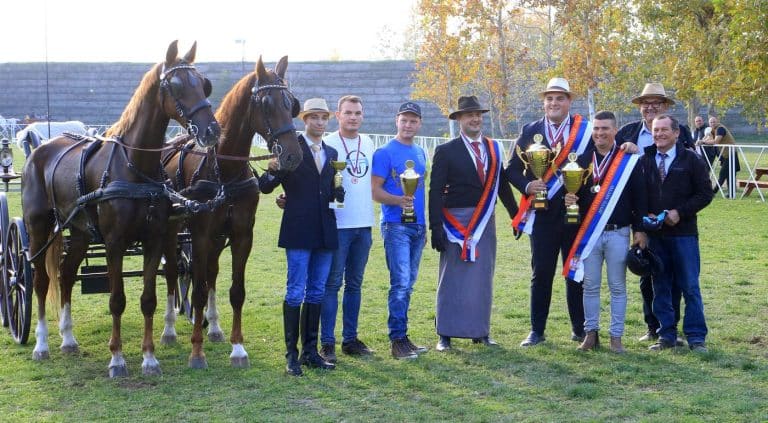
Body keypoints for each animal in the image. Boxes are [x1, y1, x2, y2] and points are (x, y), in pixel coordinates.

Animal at [21, 40, 219, 378]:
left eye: (204, 83)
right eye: (177, 85)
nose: (211, 131)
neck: (134, 166)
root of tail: (40, 148)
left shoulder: (153, 240)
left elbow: (148, 299)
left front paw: (150, 358)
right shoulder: (114, 243)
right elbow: (116, 300)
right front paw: (117, 359)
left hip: (80, 232)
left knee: (66, 274)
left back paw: (68, 339)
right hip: (38, 228)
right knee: (41, 281)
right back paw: (42, 344)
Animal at [162, 55, 304, 368]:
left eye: (291, 103)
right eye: (266, 104)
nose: (293, 155)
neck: (224, 170)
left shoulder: (241, 236)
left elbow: (236, 291)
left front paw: (237, 348)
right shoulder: (200, 236)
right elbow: (198, 291)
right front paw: (196, 352)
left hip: (216, 240)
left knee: (212, 273)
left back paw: (213, 326)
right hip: (172, 232)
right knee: (172, 272)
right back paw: (169, 329)